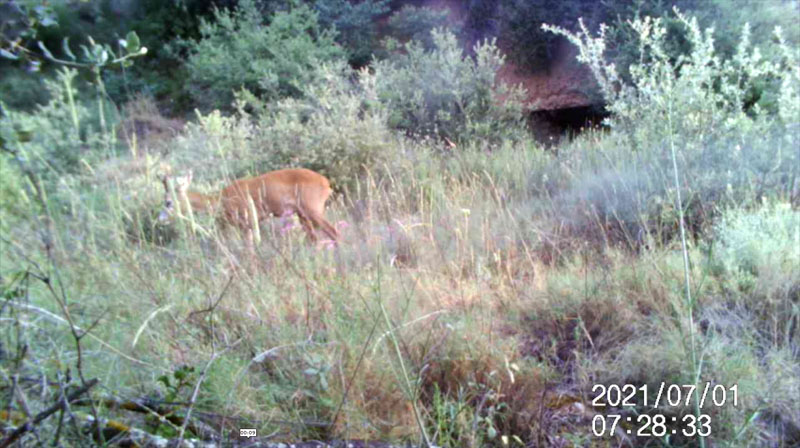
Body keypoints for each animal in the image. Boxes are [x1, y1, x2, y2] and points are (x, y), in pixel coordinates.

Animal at [161, 169, 340, 245]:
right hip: (302, 214)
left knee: (334, 232)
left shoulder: (247, 220)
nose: (162, 217)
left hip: (313, 208)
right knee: (315, 239)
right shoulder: (246, 226)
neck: (221, 199)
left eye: (169, 202)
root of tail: (326, 183)